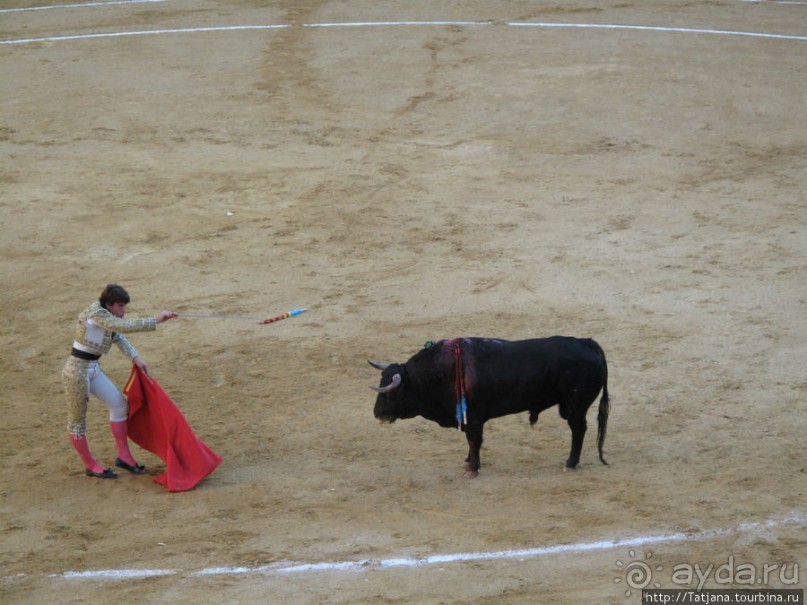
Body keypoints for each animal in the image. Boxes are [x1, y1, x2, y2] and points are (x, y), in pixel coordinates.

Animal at [370, 336, 608, 476]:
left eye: (392, 393)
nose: (377, 414)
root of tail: (589, 343)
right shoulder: (468, 419)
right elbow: (470, 442)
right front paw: (468, 462)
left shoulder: (474, 419)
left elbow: (474, 441)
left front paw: (473, 469)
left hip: (575, 406)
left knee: (579, 430)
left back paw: (570, 463)